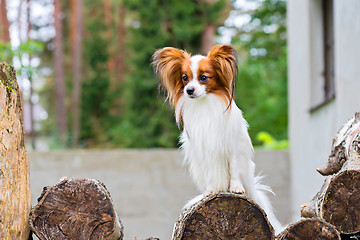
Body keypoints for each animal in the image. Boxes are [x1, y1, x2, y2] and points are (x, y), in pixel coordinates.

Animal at [150, 44, 282, 232]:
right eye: (185, 78)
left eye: (203, 77)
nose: (189, 90)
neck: (205, 104)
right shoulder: (205, 152)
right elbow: (210, 174)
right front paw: (210, 191)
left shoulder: (233, 147)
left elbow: (234, 169)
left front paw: (236, 188)